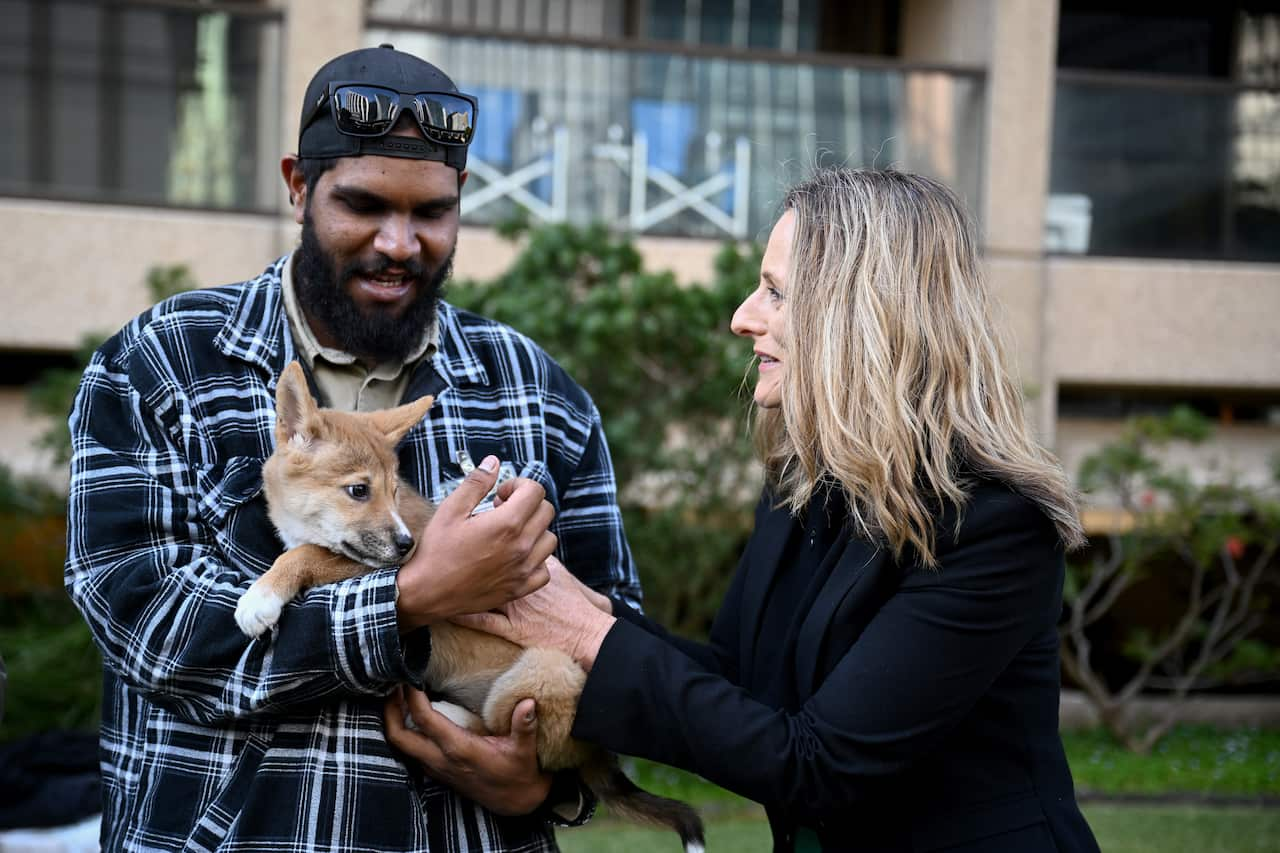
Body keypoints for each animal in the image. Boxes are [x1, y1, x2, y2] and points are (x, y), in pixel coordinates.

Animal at [235, 361, 706, 850]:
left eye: (393, 491)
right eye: (359, 491)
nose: (407, 546)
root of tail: (600, 754)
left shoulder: (364, 565)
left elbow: (308, 554)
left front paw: (260, 598)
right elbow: (305, 549)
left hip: (547, 673)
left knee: (504, 736)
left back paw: (440, 715)